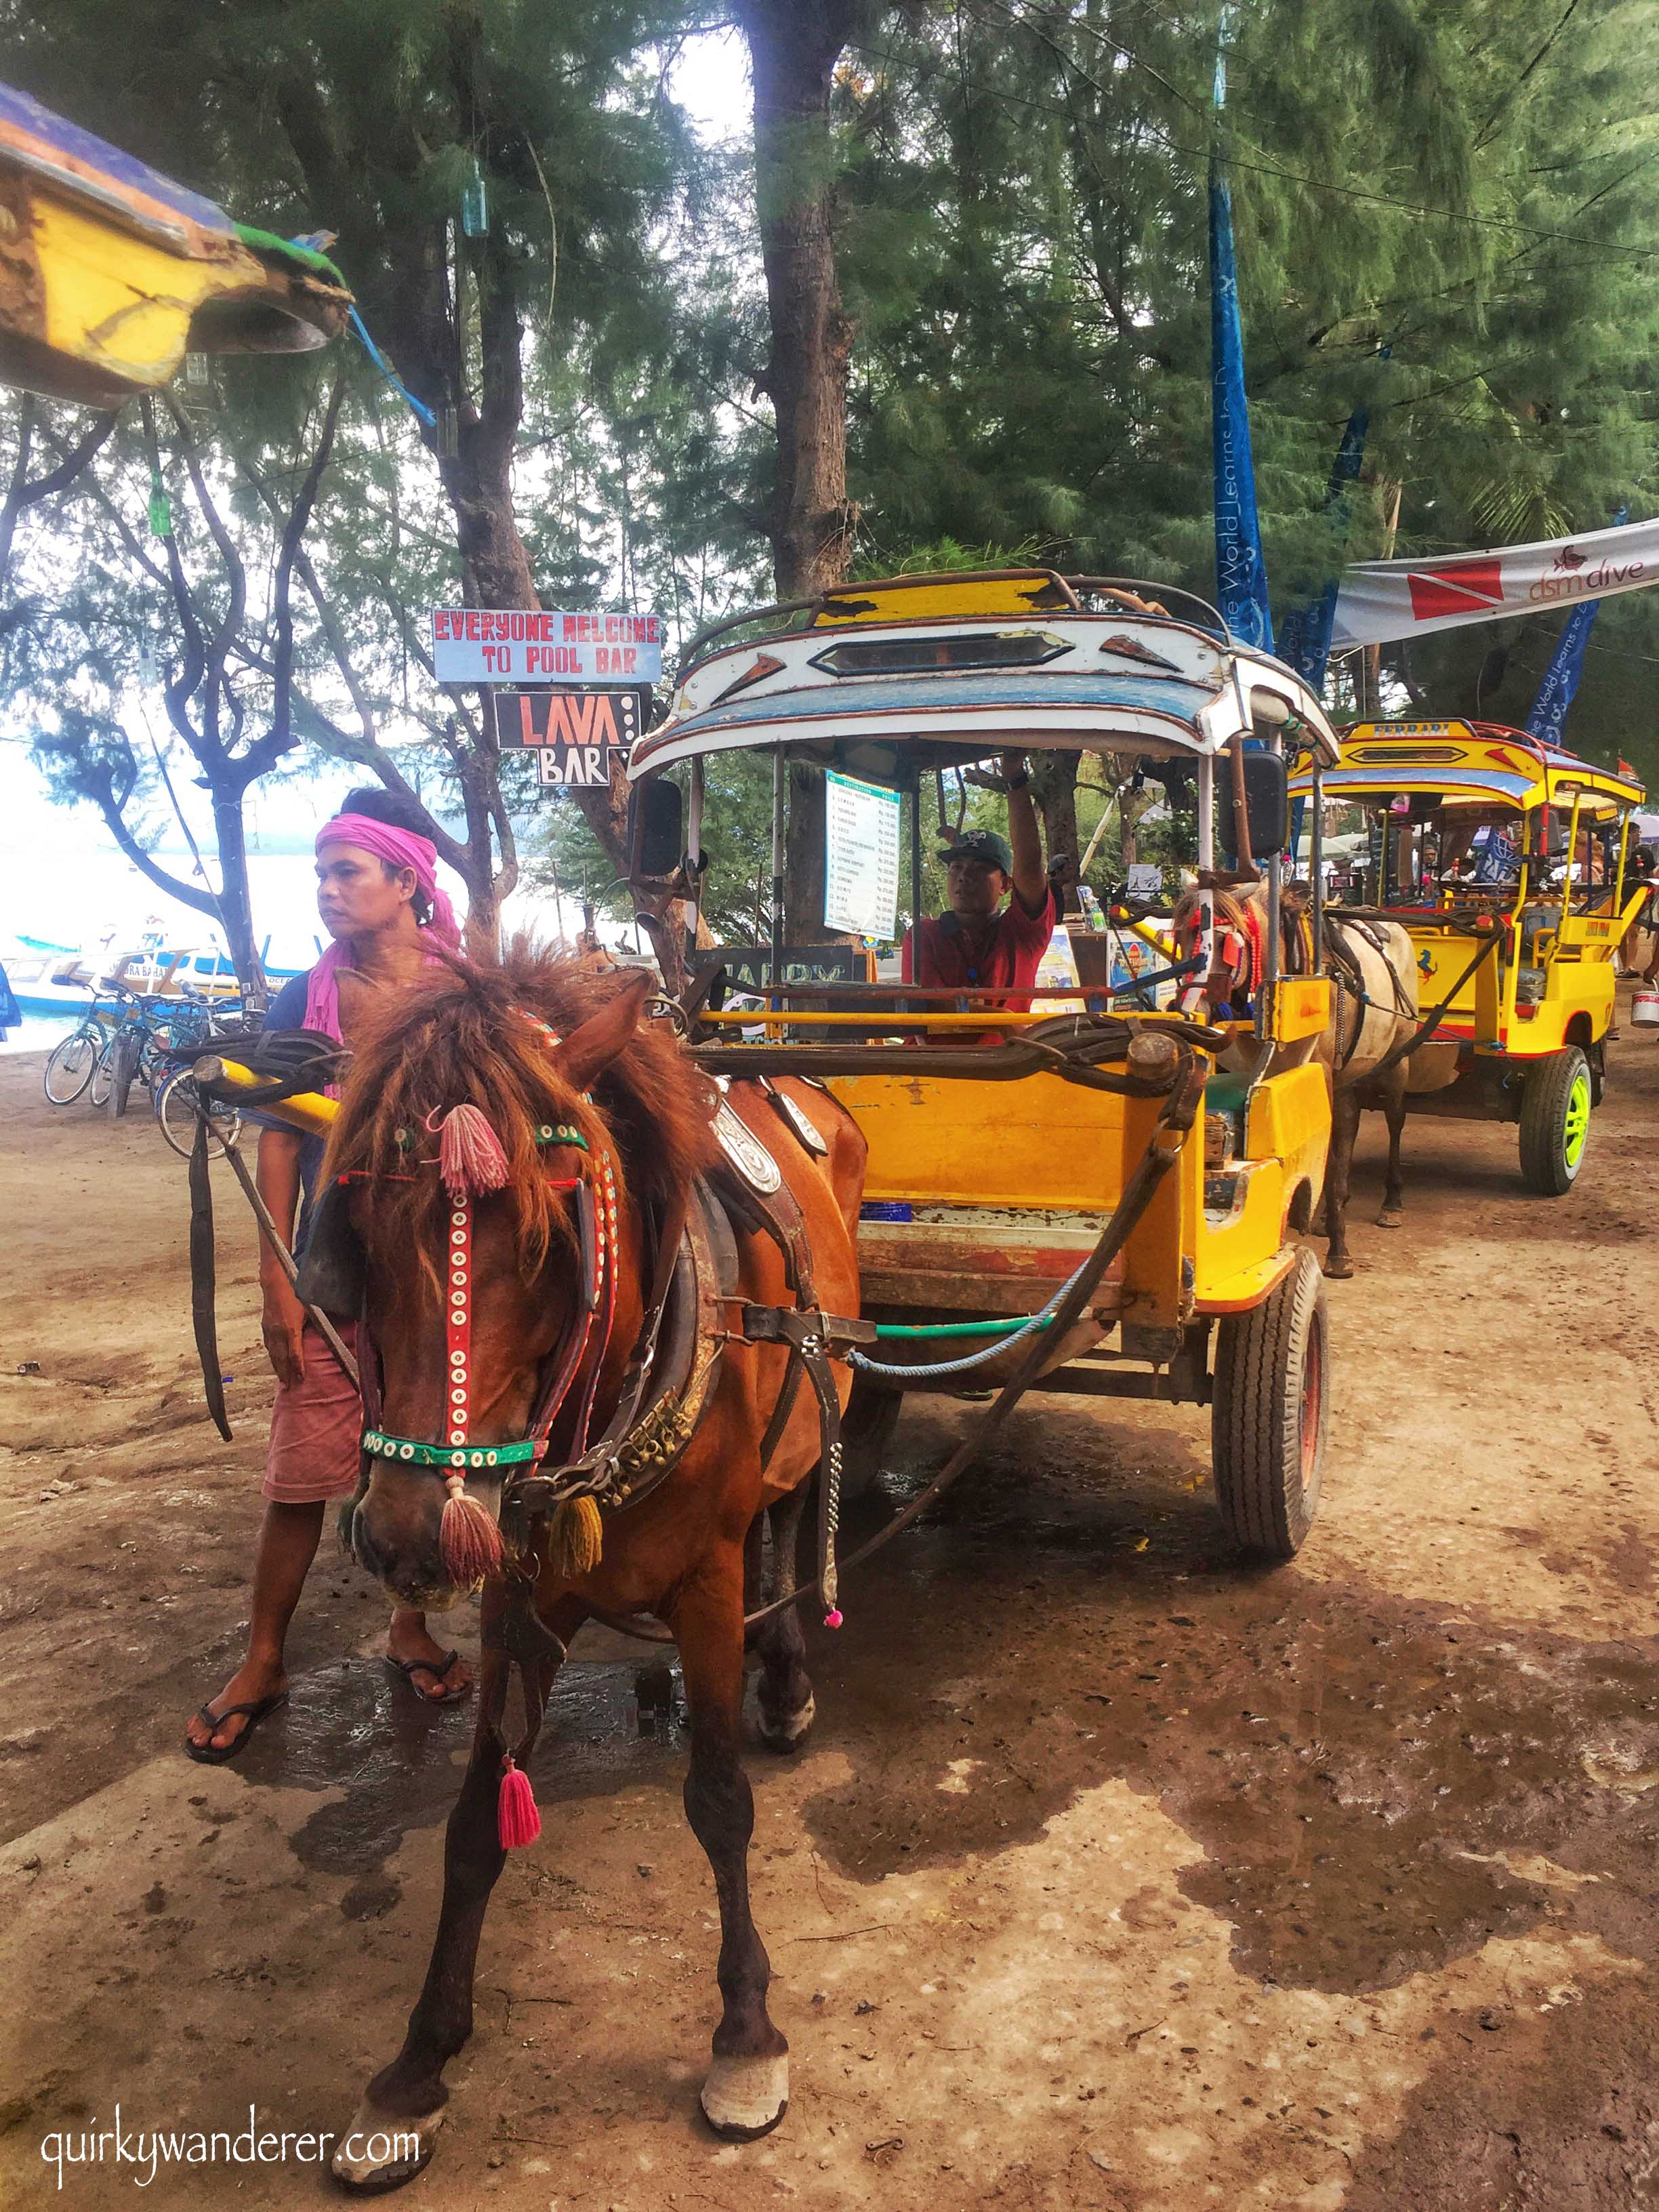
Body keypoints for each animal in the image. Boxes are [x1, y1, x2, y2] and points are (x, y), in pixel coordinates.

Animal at [316, 942, 876, 2185]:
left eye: (546, 1243)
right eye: (355, 1230)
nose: (409, 1534)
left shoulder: (705, 1579)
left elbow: (719, 1801)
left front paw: (745, 2035)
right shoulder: (516, 1592)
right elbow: (475, 1824)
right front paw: (416, 2064)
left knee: (783, 1512)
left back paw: (784, 1677)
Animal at [1159, 880, 1425, 1283]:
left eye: (1223, 942)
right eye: (1183, 937)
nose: (1187, 1006)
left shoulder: (1319, 1073)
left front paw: (1339, 1252)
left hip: (1398, 1059)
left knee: (1394, 1120)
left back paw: (1391, 1202)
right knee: (1348, 1126)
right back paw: (1328, 1214)